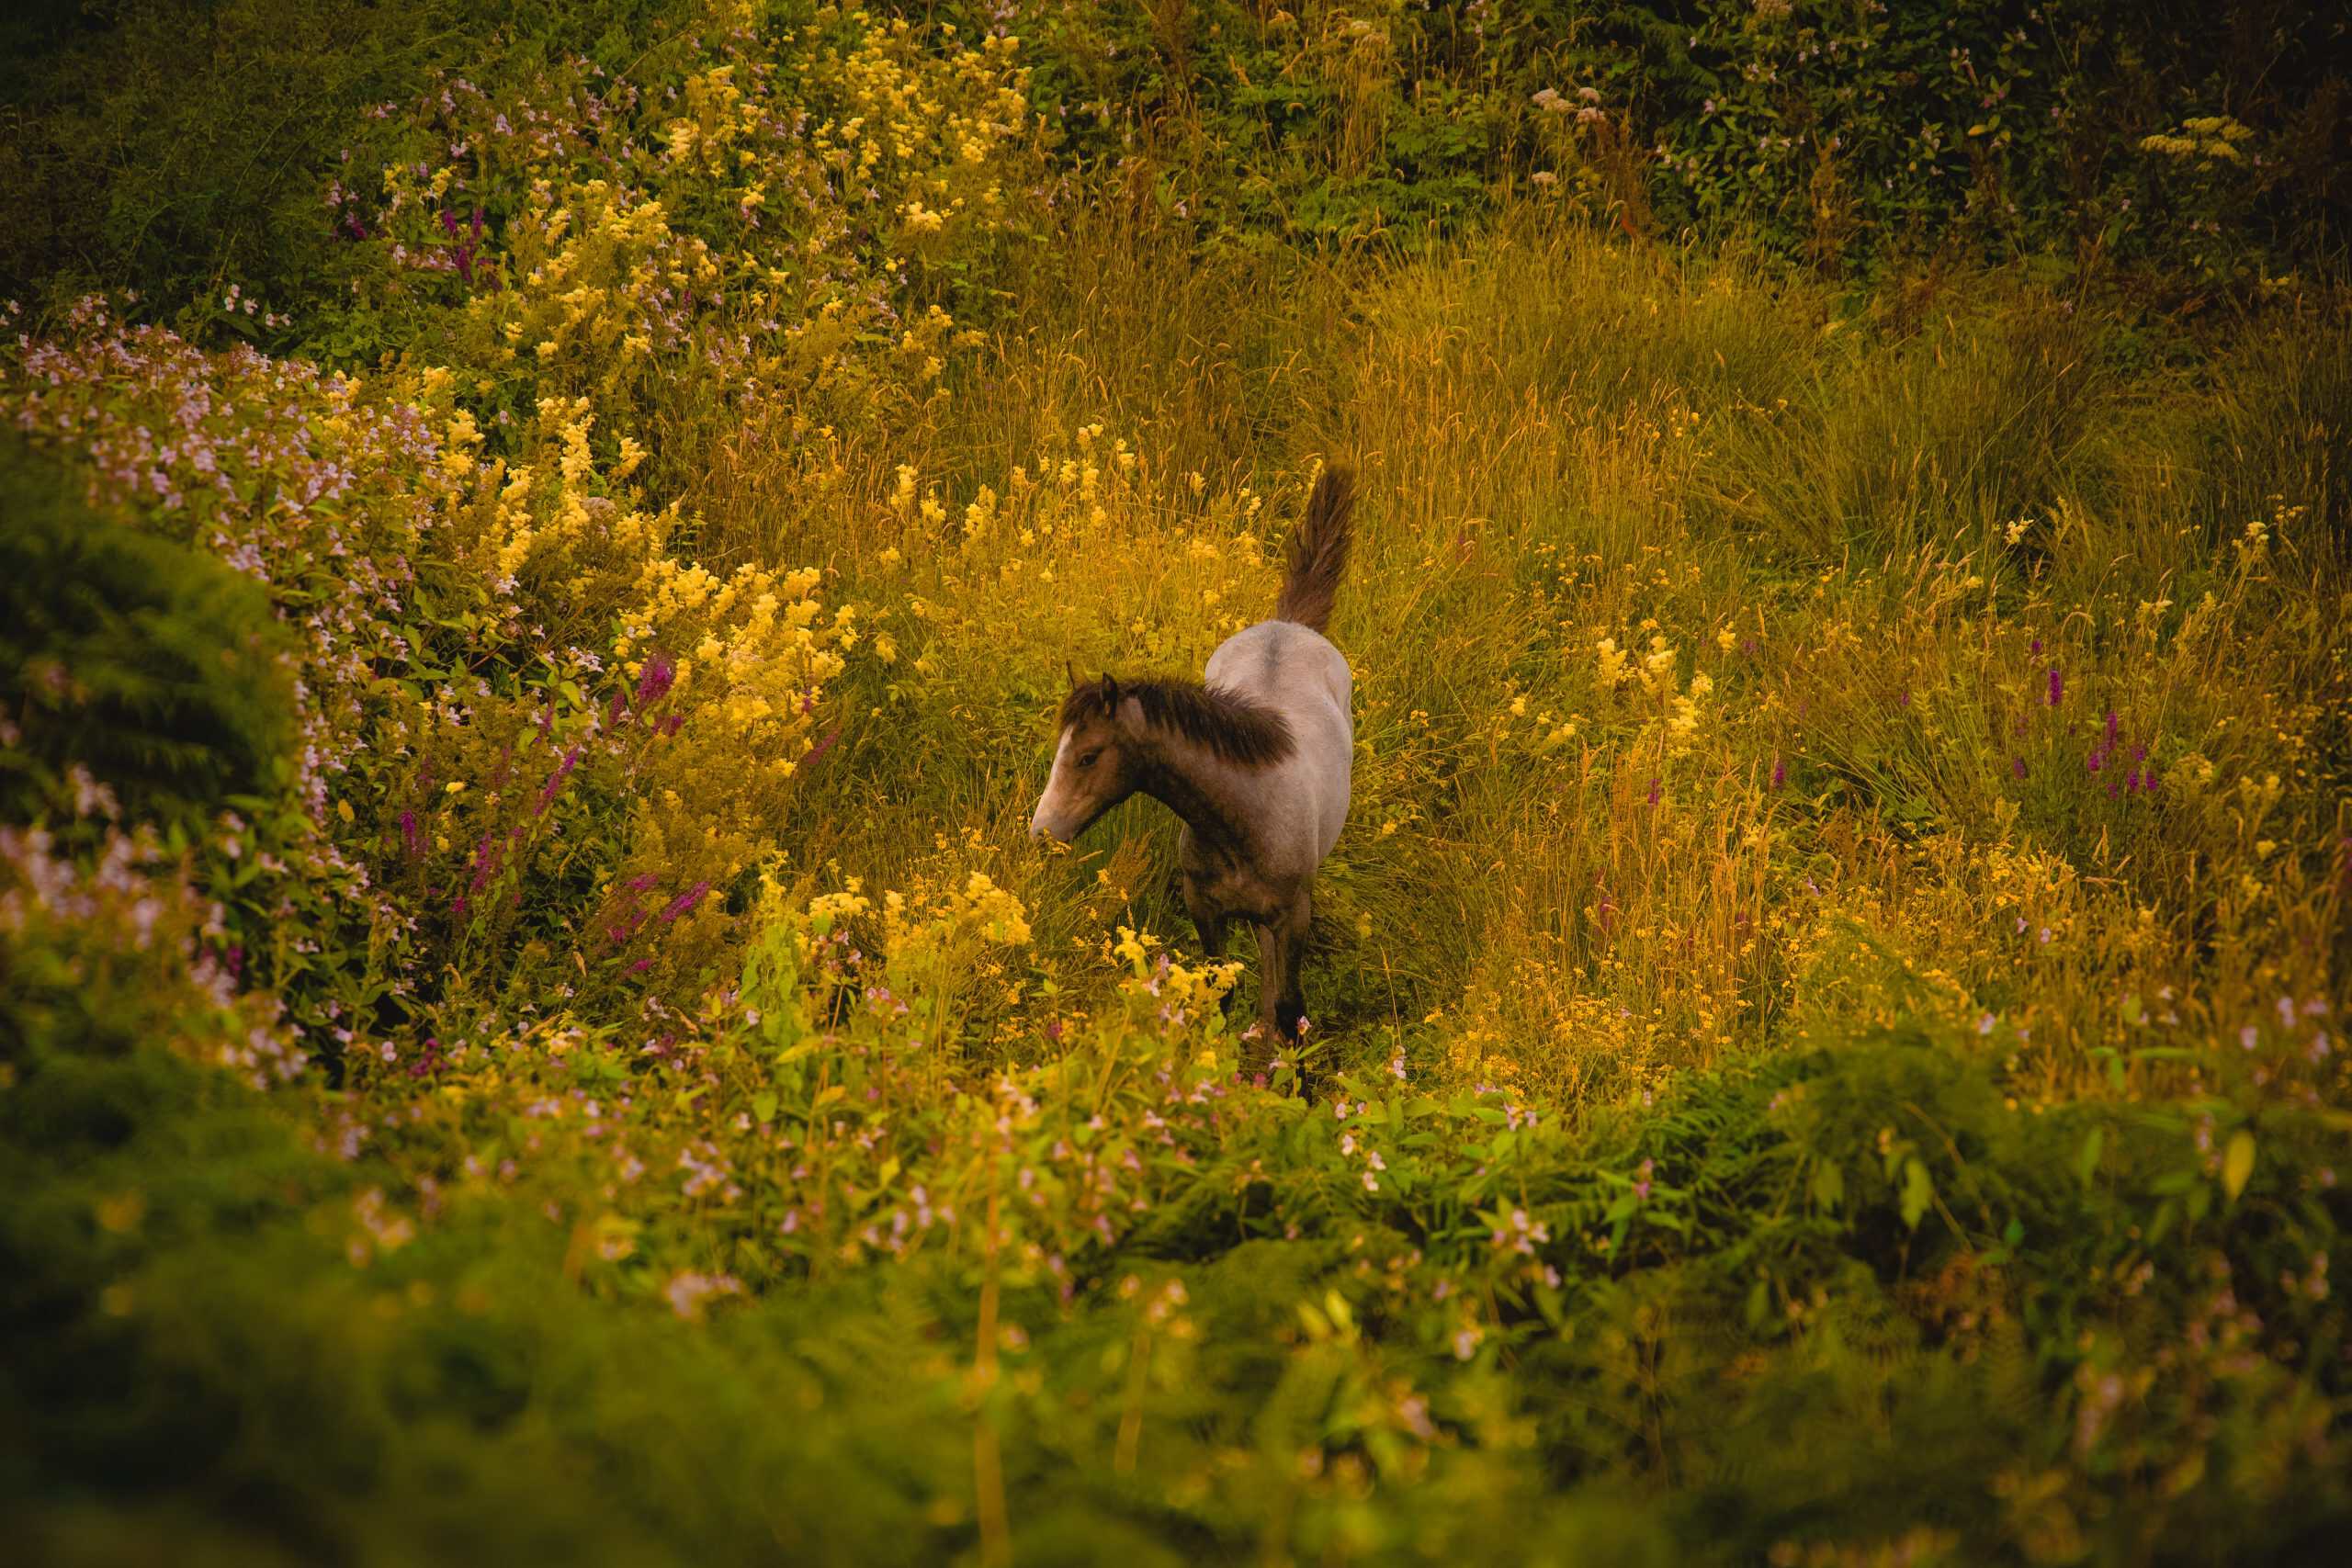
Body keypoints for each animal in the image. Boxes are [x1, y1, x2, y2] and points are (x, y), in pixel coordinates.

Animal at [1030, 466, 1356, 1073]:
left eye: (1087, 756)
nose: (1041, 834)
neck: (1244, 816)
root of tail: (1289, 623)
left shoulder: (1294, 916)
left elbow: (1292, 1008)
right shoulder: (1204, 908)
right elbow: (1219, 991)